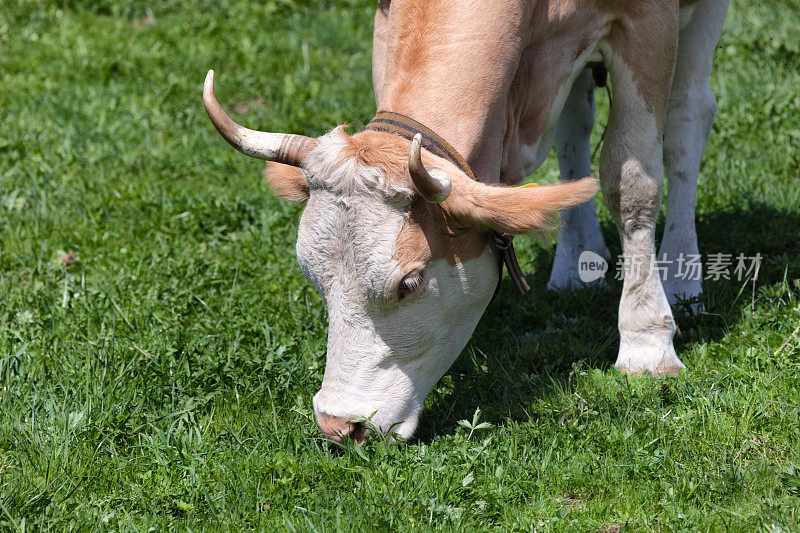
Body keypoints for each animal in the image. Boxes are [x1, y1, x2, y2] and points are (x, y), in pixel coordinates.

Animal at [203, 0, 728, 440]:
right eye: (313, 278)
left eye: (409, 283)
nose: (338, 426)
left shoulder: (647, 21)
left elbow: (632, 181)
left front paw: (647, 343)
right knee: (576, 122)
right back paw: (578, 262)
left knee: (688, 116)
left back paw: (682, 280)